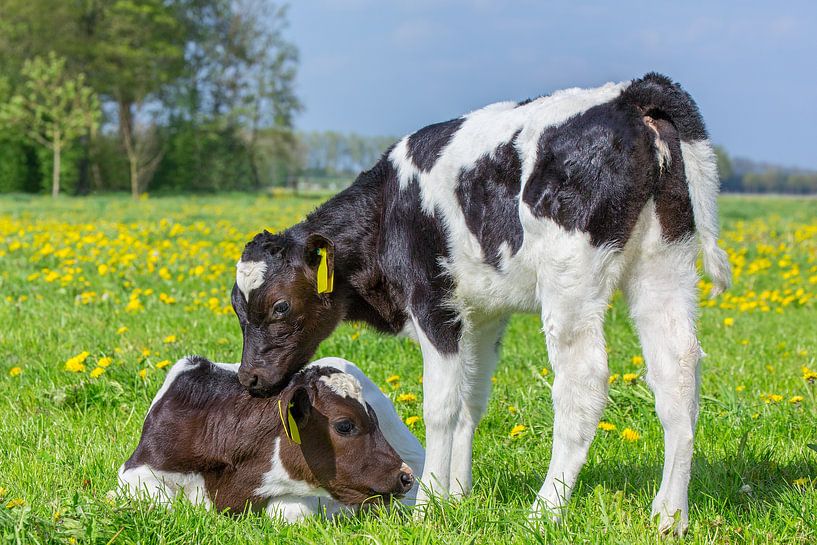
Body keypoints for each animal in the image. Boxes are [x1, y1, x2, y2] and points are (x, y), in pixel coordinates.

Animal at [118, 354, 424, 520]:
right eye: (345, 425)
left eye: (372, 419)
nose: (404, 477)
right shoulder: (135, 470)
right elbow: (162, 502)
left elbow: (291, 513)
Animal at [231, 73, 732, 536]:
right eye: (238, 310)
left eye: (279, 306)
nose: (249, 379)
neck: (388, 210)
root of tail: (630, 94)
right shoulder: (484, 312)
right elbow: (470, 399)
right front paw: (457, 495)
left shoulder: (433, 303)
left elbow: (440, 407)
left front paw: (429, 505)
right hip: (665, 264)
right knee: (677, 375)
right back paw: (669, 516)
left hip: (571, 281)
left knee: (582, 386)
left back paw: (544, 511)